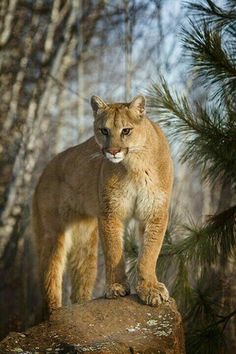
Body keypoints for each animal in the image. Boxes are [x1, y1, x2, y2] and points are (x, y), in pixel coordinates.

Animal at [32, 93, 173, 312]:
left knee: (81, 279)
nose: (113, 151)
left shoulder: (155, 211)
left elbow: (149, 253)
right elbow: (114, 250)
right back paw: (55, 313)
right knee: (50, 275)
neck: (134, 166)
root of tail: (44, 171)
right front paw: (116, 287)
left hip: (86, 240)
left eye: (126, 130)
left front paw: (149, 288)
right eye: (104, 130)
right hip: (52, 234)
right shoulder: (110, 212)